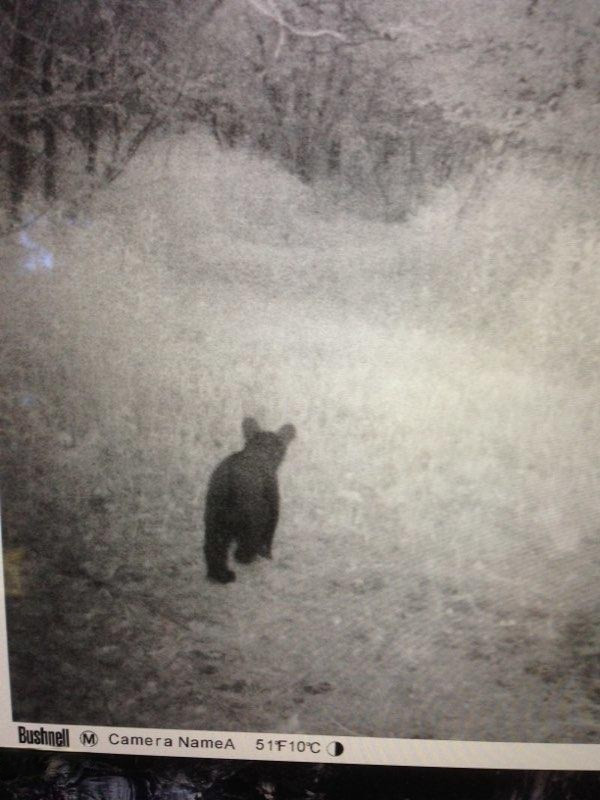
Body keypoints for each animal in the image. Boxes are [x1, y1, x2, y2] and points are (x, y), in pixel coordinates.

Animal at [203, 417, 296, 583]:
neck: (259, 451)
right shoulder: (273, 507)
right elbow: (268, 537)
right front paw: (267, 556)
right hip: (253, 520)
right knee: (244, 549)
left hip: (214, 521)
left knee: (213, 548)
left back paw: (220, 575)